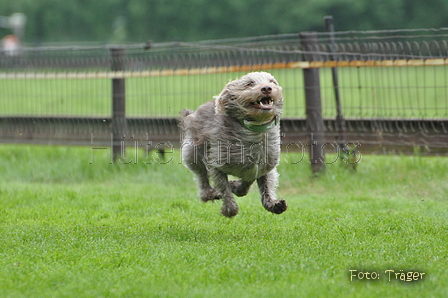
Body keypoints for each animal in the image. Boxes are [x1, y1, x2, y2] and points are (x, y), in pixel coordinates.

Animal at [179, 71, 288, 218]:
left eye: (272, 81)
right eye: (250, 83)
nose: (266, 88)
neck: (254, 131)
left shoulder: (264, 165)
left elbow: (256, 183)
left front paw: (273, 204)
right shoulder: (217, 163)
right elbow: (224, 188)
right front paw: (229, 208)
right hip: (192, 153)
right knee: (203, 186)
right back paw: (212, 193)